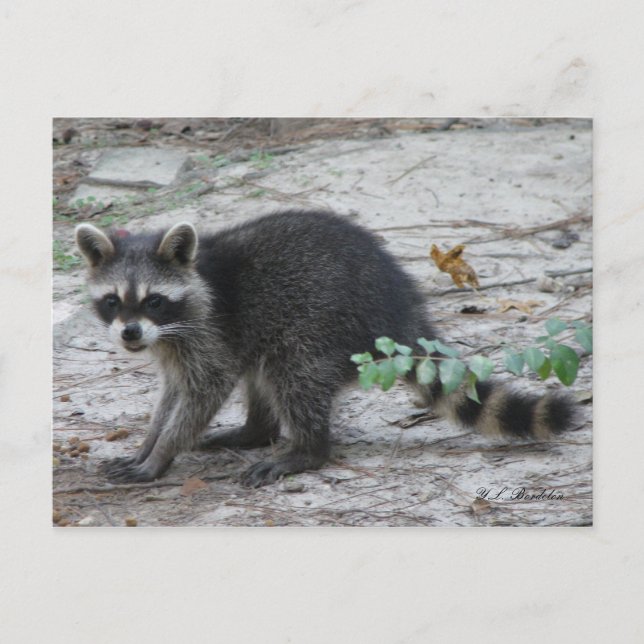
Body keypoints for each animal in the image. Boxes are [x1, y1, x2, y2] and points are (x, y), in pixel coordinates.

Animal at [75, 210, 576, 487]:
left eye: (154, 301)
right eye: (113, 300)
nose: (130, 334)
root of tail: (401, 310)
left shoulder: (207, 332)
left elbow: (203, 391)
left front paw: (163, 452)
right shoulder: (175, 346)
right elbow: (172, 394)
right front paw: (148, 442)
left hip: (328, 322)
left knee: (293, 372)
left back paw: (308, 449)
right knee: (264, 370)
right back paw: (256, 430)